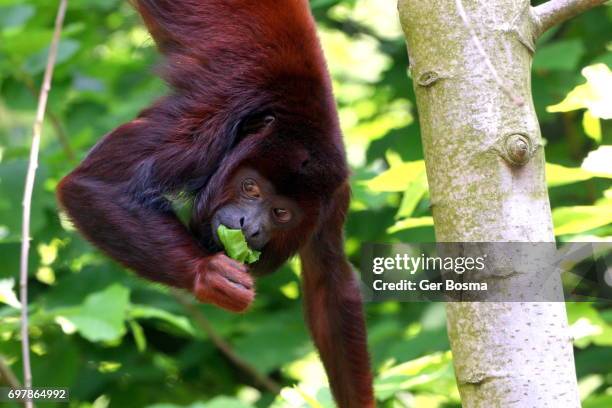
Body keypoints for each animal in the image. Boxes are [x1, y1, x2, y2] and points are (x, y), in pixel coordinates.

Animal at [56, 1, 372, 406]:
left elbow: (329, 283)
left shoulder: (334, 193)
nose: (249, 226)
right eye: (251, 188)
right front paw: (207, 273)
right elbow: (95, 185)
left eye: (281, 212)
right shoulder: (209, 121)